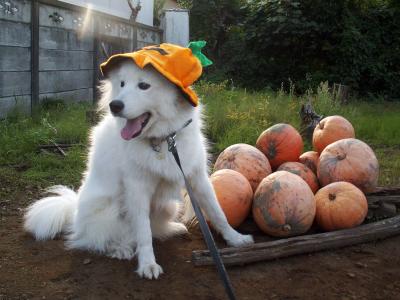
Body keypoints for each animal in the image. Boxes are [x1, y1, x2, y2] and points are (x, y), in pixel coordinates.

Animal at [24, 60, 253, 278]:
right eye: (122, 84)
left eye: (144, 86)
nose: (114, 105)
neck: (162, 141)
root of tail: (74, 213)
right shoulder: (137, 188)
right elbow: (143, 233)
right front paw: (147, 265)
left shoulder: (197, 179)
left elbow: (217, 212)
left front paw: (236, 239)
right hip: (112, 210)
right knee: (100, 239)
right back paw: (120, 249)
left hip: (168, 206)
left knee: (153, 230)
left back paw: (173, 228)